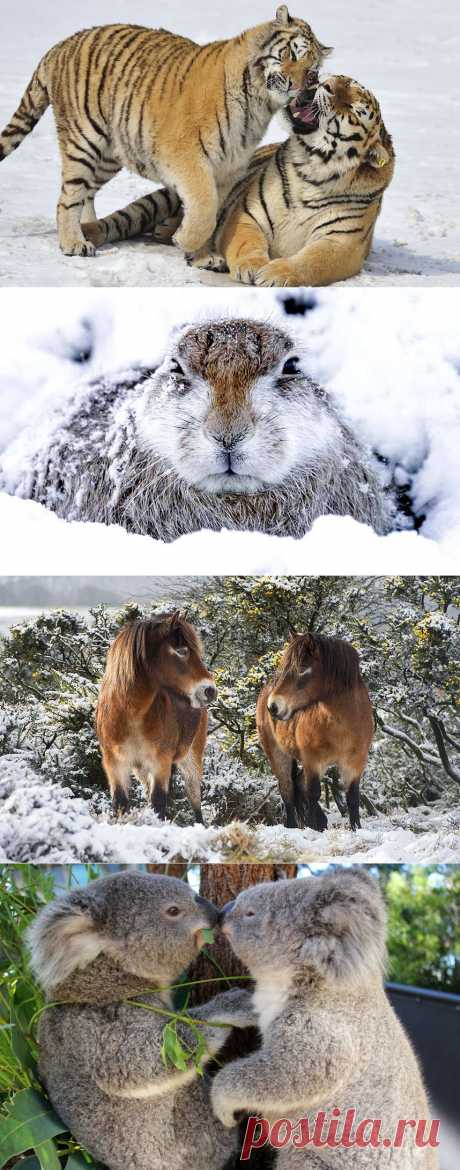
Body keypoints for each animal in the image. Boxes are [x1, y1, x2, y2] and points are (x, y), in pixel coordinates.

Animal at [0, 4, 330, 260]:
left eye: (313, 71)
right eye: (291, 54)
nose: (304, 88)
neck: (260, 105)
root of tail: (62, 44)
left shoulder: (228, 167)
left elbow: (214, 213)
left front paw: (203, 257)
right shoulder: (185, 156)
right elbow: (204, 207)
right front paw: (184, 241)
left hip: (108, 155)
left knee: (86, 192)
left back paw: (88, 232)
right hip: (85, 140)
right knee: (68, 196)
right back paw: (73, 243)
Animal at [84, 73, 393, 285]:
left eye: (353, 108)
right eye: (339, 80)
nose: (324, 83)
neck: (313, 169)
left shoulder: (342, 243)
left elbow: (312, 262)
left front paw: (276, 273)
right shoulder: (248, 214)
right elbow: (247, 243)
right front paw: (253, 267)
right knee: (122, 220)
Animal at [95, 613, 216, 823]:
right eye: (181, 651)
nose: (210, 690)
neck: (130, 714)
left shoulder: (161, 762)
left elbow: (158, 803)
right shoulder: (114, 763)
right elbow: (120, 803)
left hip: (191, 758)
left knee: (195, 799)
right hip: (141, 769)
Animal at [256, 631, 369, 833]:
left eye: (302, 669)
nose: (273, 706)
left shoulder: (355, 763)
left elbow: (353, 799)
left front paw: (356, 828)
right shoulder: (312, 761)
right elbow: (313, 794)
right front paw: (313, 827)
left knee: (298, 786)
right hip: (279, 756)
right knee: (288, 791)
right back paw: (293, 826)